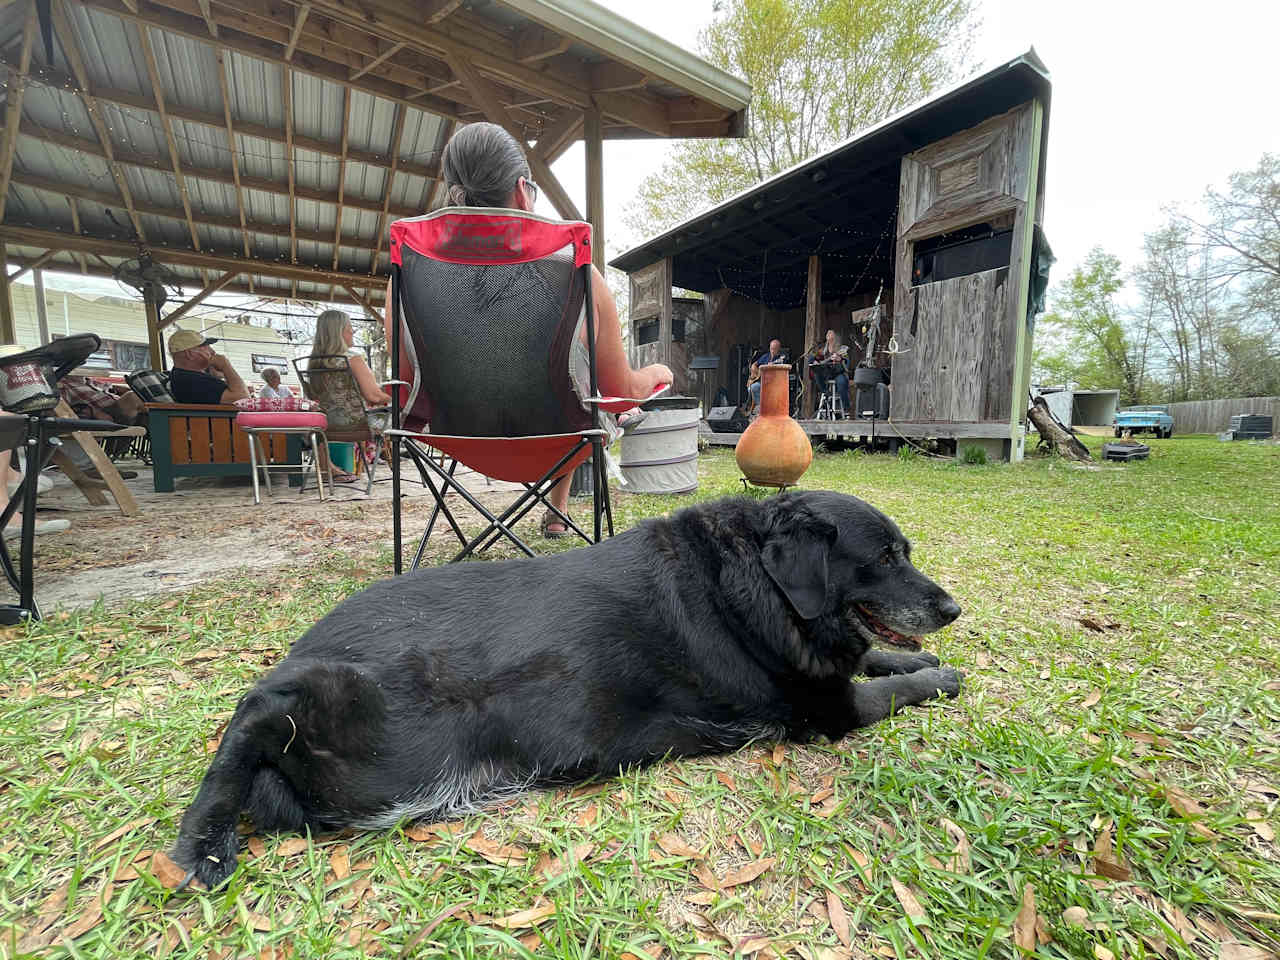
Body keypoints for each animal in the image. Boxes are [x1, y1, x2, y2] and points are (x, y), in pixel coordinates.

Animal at [175, 491, 962, 890]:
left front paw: (922, 661)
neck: (754, 581)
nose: (952, 609)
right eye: (884, 557)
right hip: (366, 725)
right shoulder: (822, 708)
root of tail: (305, 642)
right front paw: (935, 675)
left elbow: (875, 655)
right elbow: (888, 688)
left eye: (907, 553)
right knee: (255, 710)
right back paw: (203, 842)